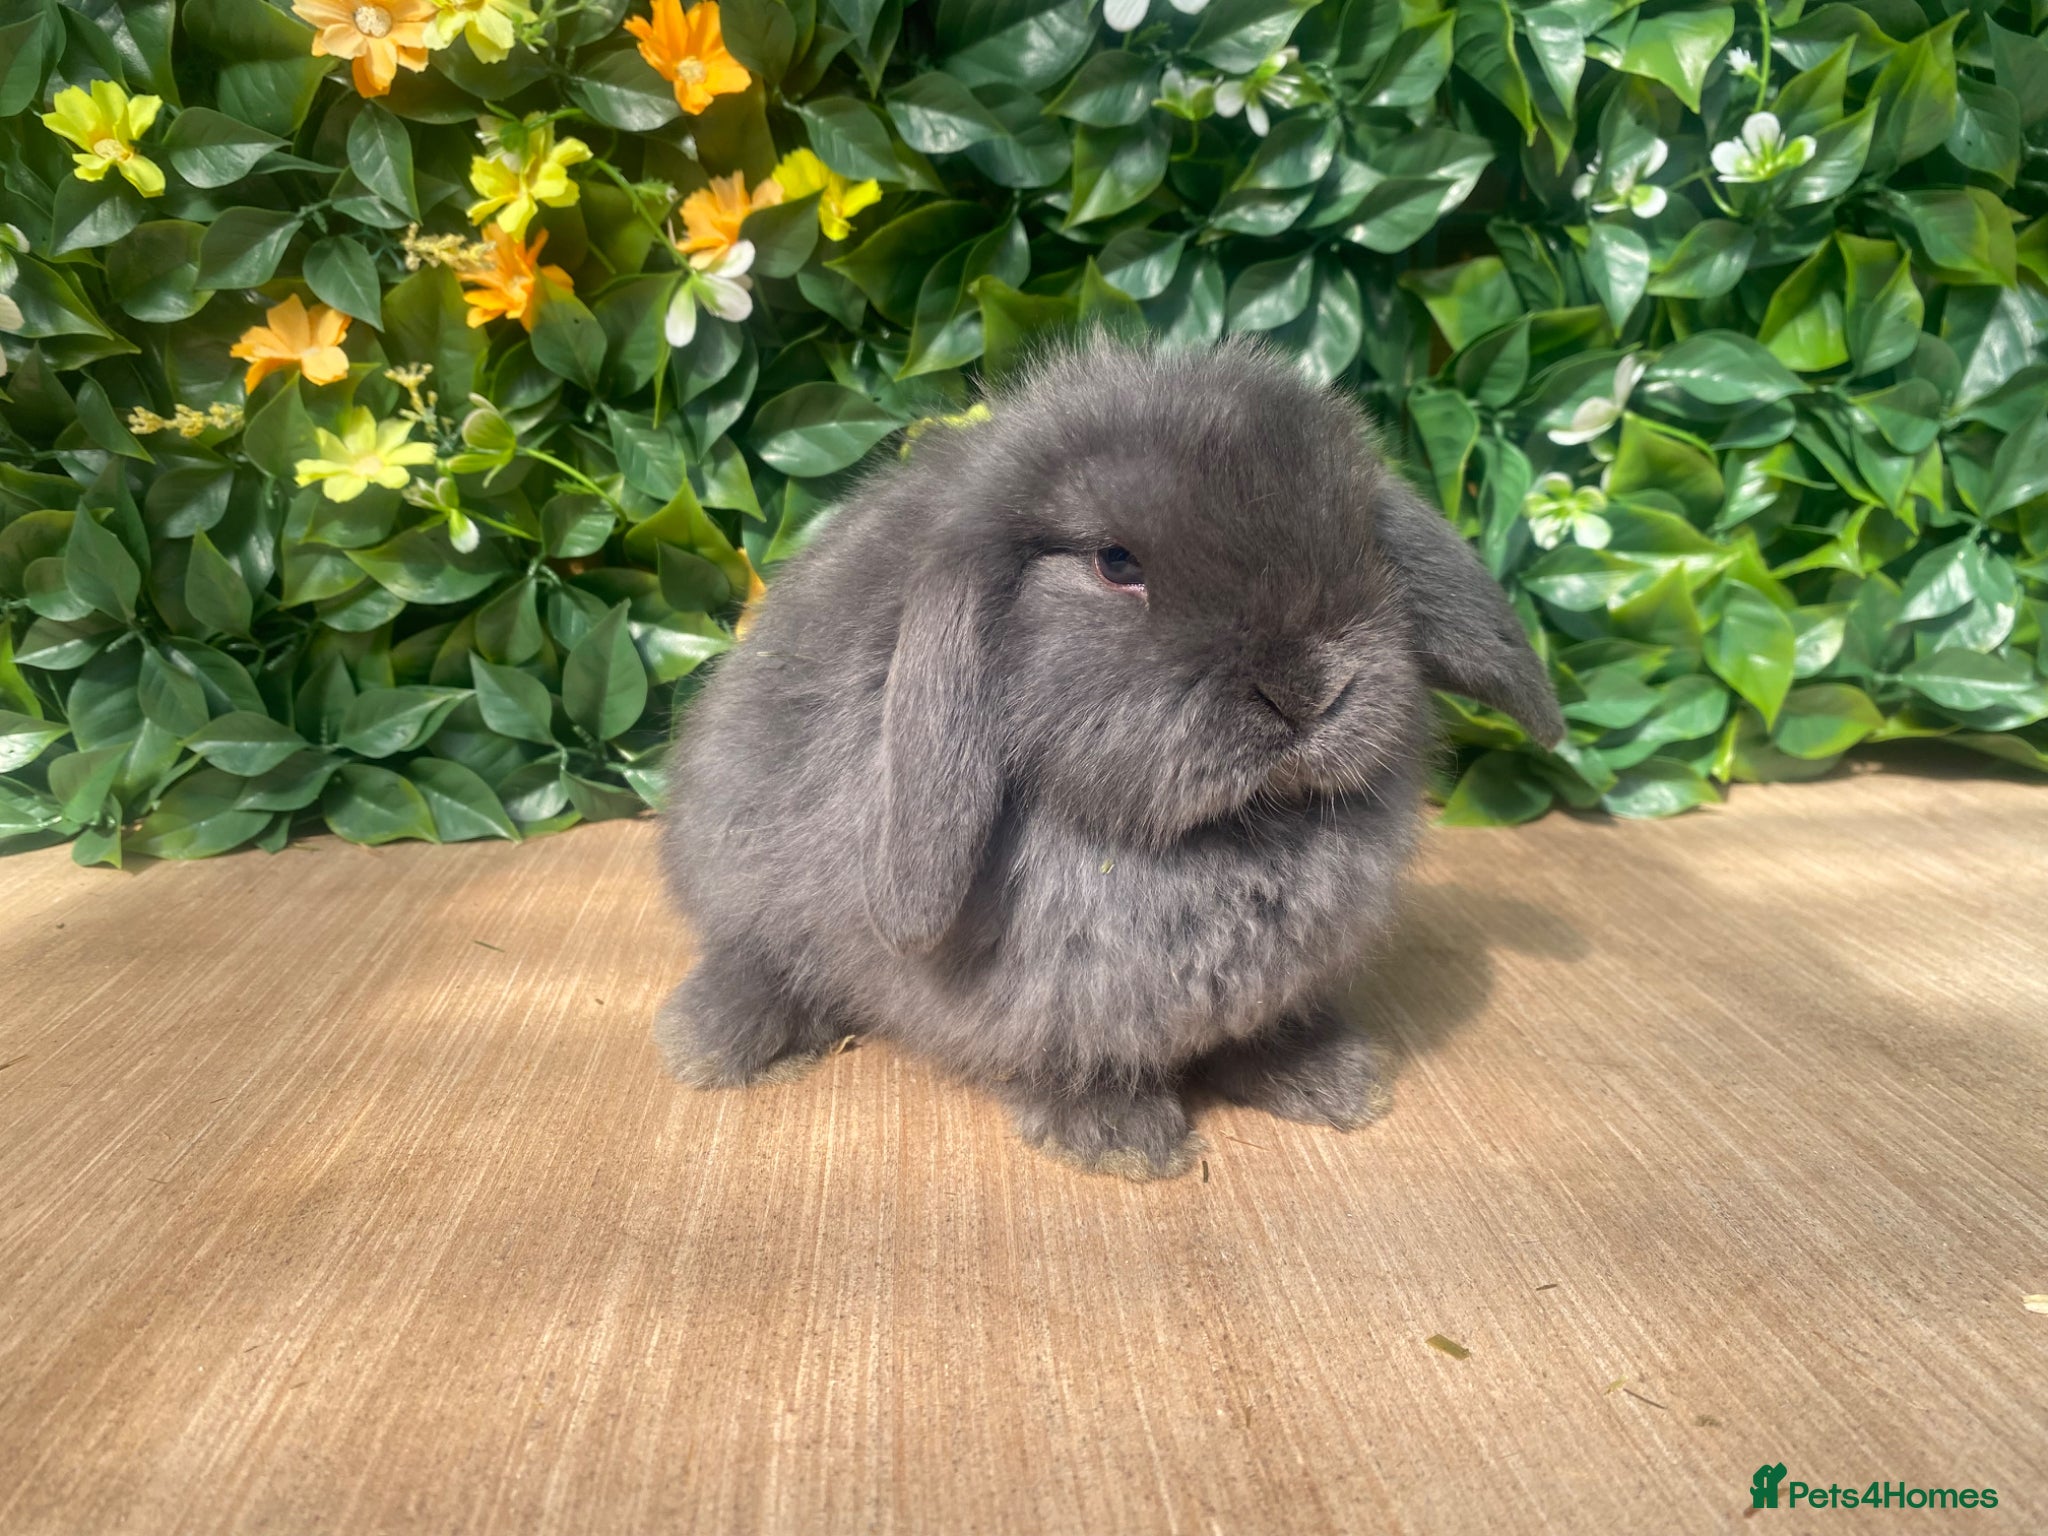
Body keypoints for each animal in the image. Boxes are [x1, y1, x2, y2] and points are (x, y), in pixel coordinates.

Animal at [654, 337, 1563, 1179]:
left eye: (1360, 541)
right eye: (1116, 562)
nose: (1307, 689)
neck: (1229, 837)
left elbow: (1262, 1031)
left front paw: (1329, 1080)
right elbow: (1070, 1058)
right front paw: (1120, 1141)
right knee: (761, 957)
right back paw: (720, 1043)